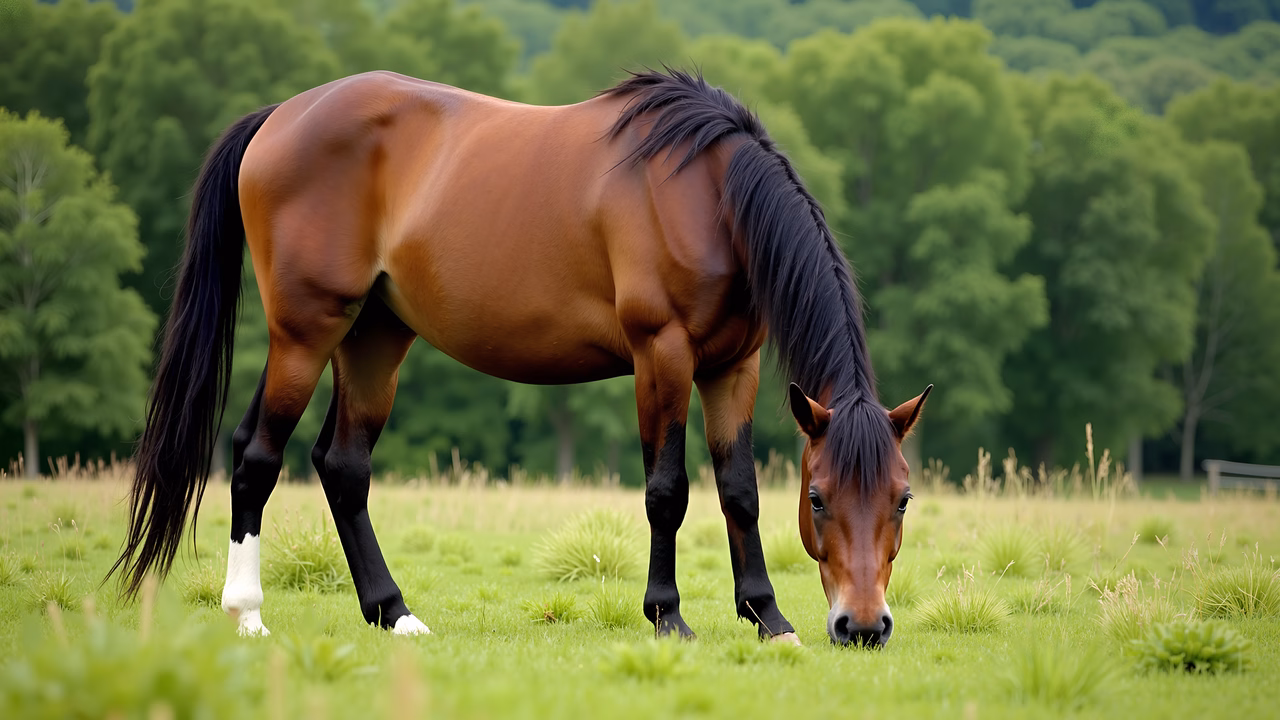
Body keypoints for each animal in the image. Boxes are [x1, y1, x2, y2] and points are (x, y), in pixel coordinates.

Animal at [108, 68, 931, 647]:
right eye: (820, 499)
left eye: (902, 499)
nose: (862, 627)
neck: (707, 194)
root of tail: (280, 117)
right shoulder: (661, 354)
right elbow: (667, 490)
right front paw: (668, 617)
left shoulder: (736, 366)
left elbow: (739, 491)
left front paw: (767, 617)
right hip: (305, 332)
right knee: (257, 455)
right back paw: (247, 614)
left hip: (374, 340)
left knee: (340, 466)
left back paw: (393, 613)